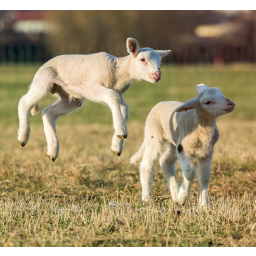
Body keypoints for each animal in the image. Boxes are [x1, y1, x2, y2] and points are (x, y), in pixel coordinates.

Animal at [17, 37, 170, 161]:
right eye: (142, 60)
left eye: (160, 61)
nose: (157, 75)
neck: (118, 71)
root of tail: (42, 66)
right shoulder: (93, 87)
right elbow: (113, 97)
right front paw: (121, 130)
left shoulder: (118, 93)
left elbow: (124, 109)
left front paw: (117, 145)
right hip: (44, 80)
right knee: (24, 102)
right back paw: (23, 136)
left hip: (71, 98)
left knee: (48, 112)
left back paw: (52, 150)